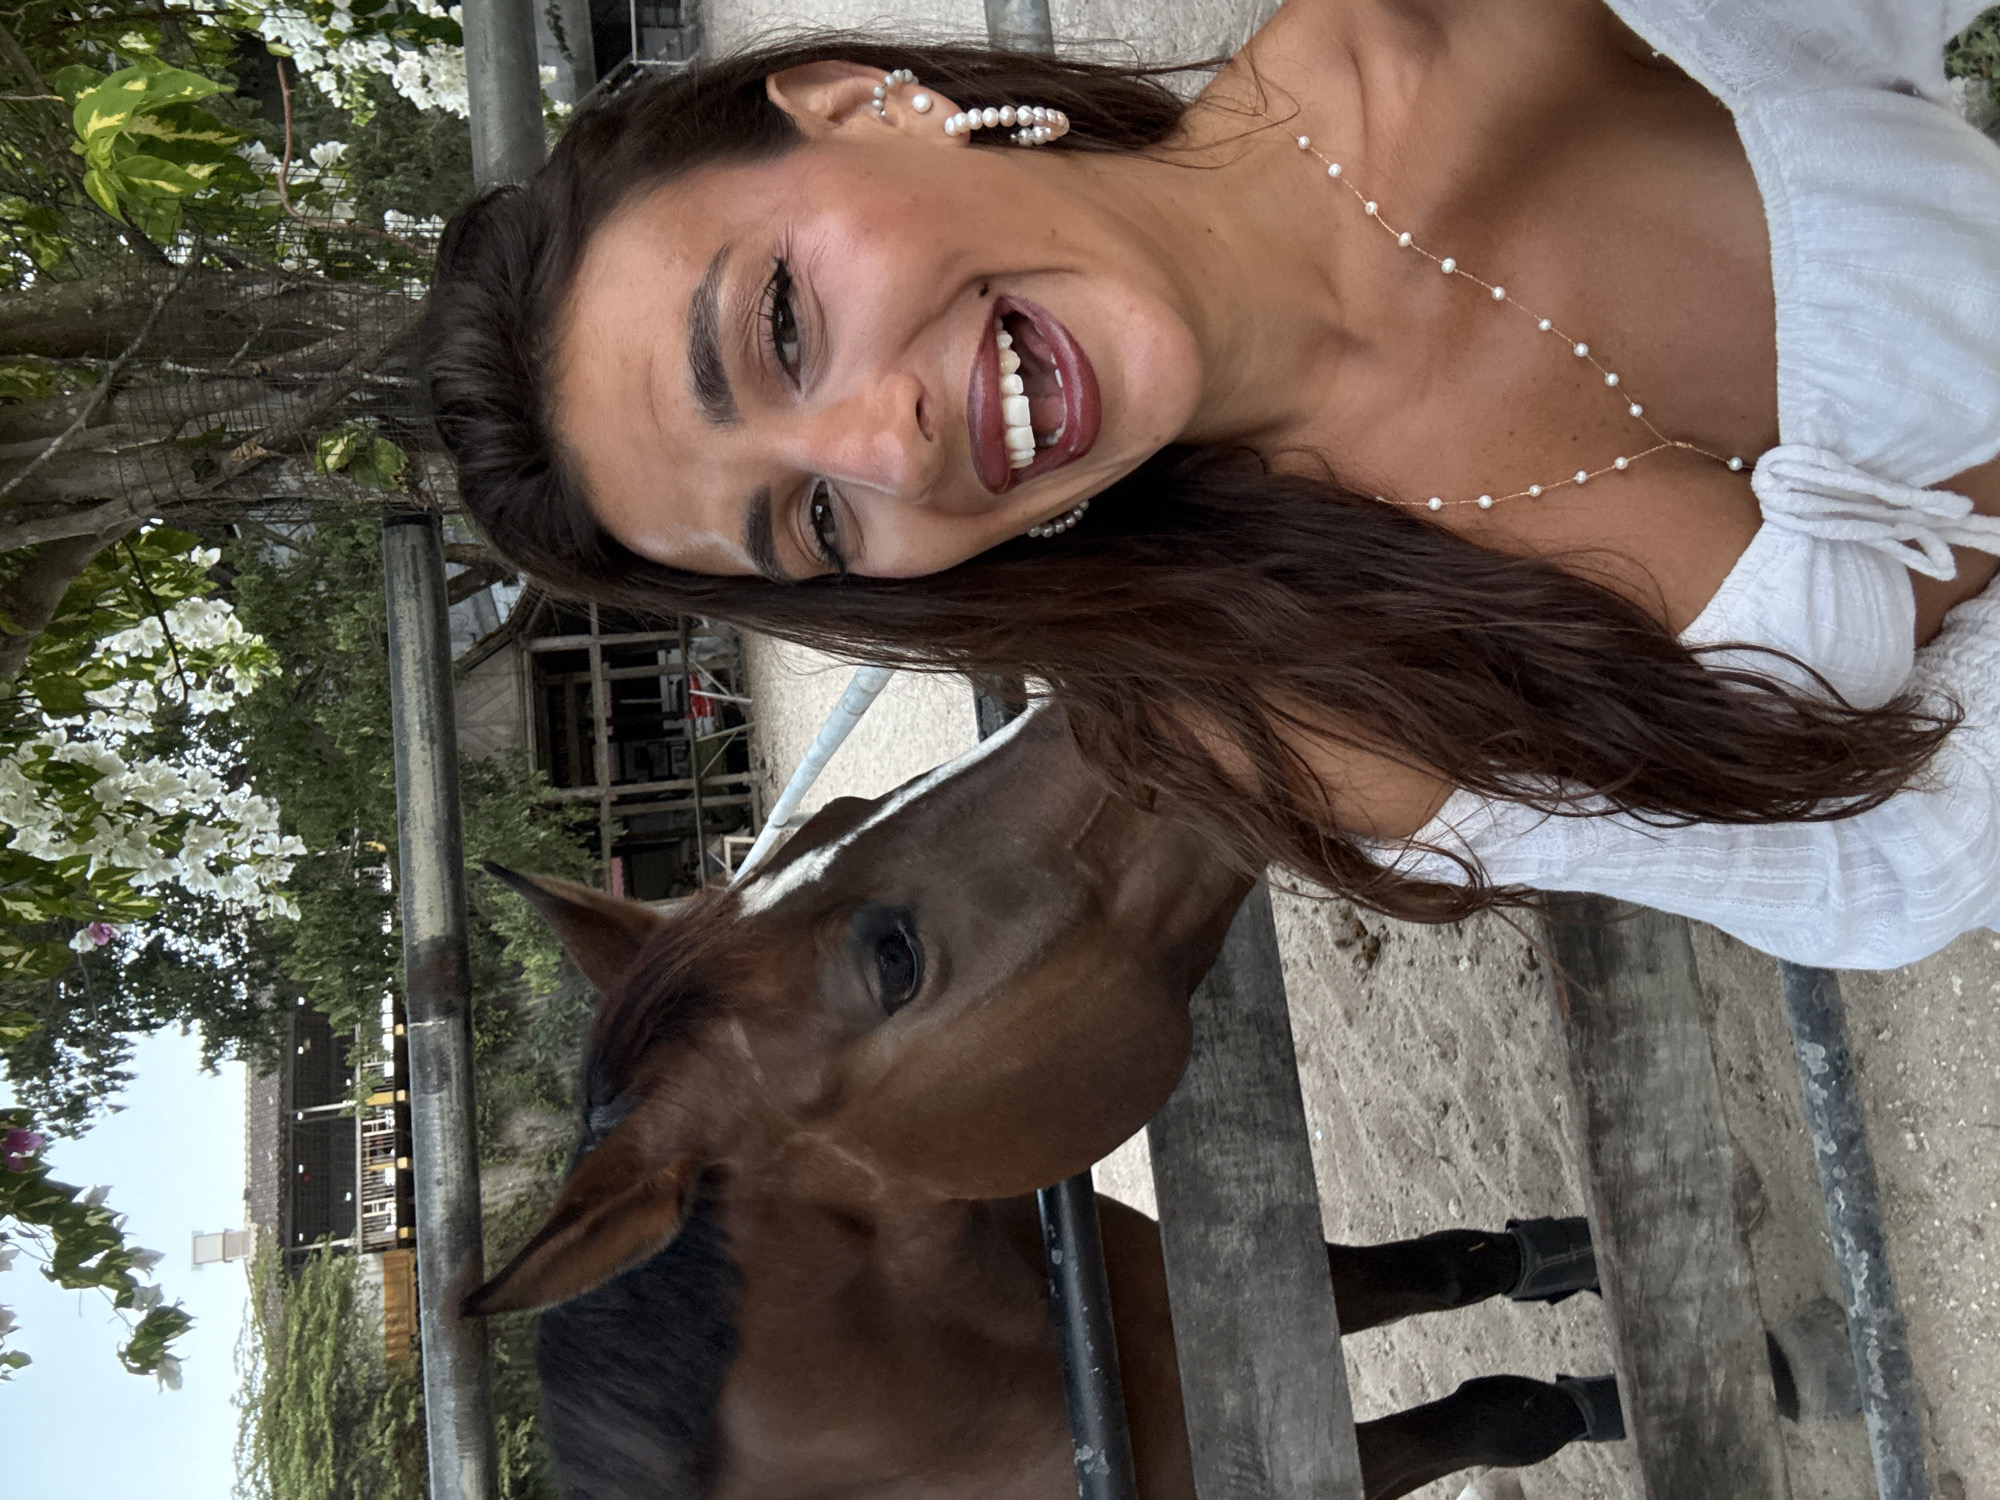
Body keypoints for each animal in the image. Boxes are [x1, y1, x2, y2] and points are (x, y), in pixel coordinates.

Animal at [468, 705, 1620, 1500]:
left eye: (837, 812)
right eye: (893, 957)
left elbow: (1445, 1265)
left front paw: (1566, 1253)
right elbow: (1502, 1415)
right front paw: (1595, 1397)